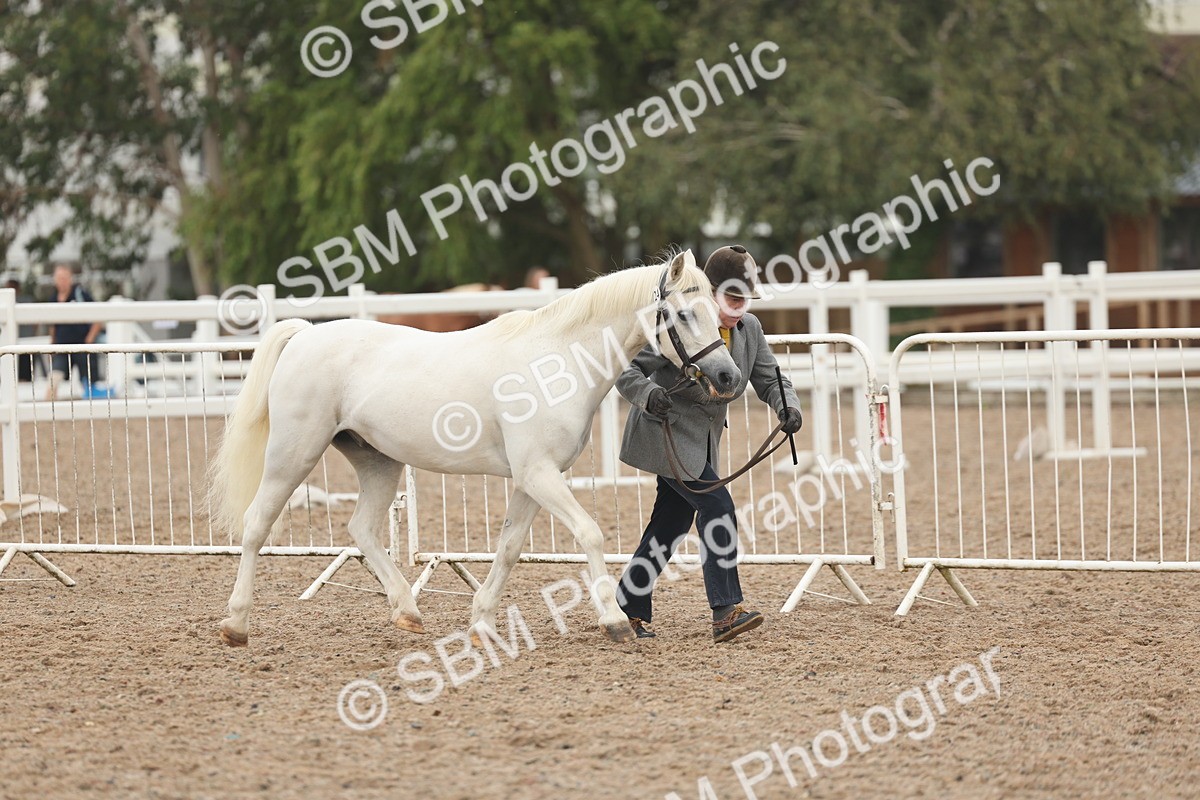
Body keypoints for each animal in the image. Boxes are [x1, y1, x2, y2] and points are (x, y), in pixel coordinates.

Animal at [209, 249, 741, 646]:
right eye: (683, 314)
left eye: (717, 312)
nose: (727, 377)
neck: (556, 362)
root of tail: (306, 334)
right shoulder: (539, 475)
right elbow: (589, 534)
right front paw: (612, 621)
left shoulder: (533, 480)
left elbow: (508, 548)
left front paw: (481, 622)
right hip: (292, 455)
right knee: (256, 524)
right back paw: (236, 624)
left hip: (377, 461)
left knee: (361, 529)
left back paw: (407, 611)